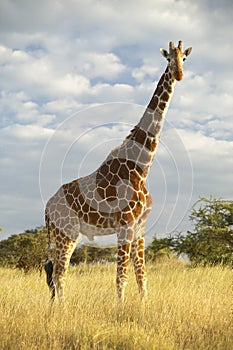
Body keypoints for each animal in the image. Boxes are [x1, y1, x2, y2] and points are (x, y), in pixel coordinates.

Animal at [43, 39, 191, 300]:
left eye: (184, 57)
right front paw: (120, 306)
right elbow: (121, 277)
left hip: (68, 233)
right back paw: (62, 308)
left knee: (57, 272)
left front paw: (143, 305)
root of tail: (47, 208)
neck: (142, 166)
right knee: (59, 274)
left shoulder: (140, 226)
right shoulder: (125, 223)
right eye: (168, 58)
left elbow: (142, 276)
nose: (179, 74)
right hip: (66, 232)